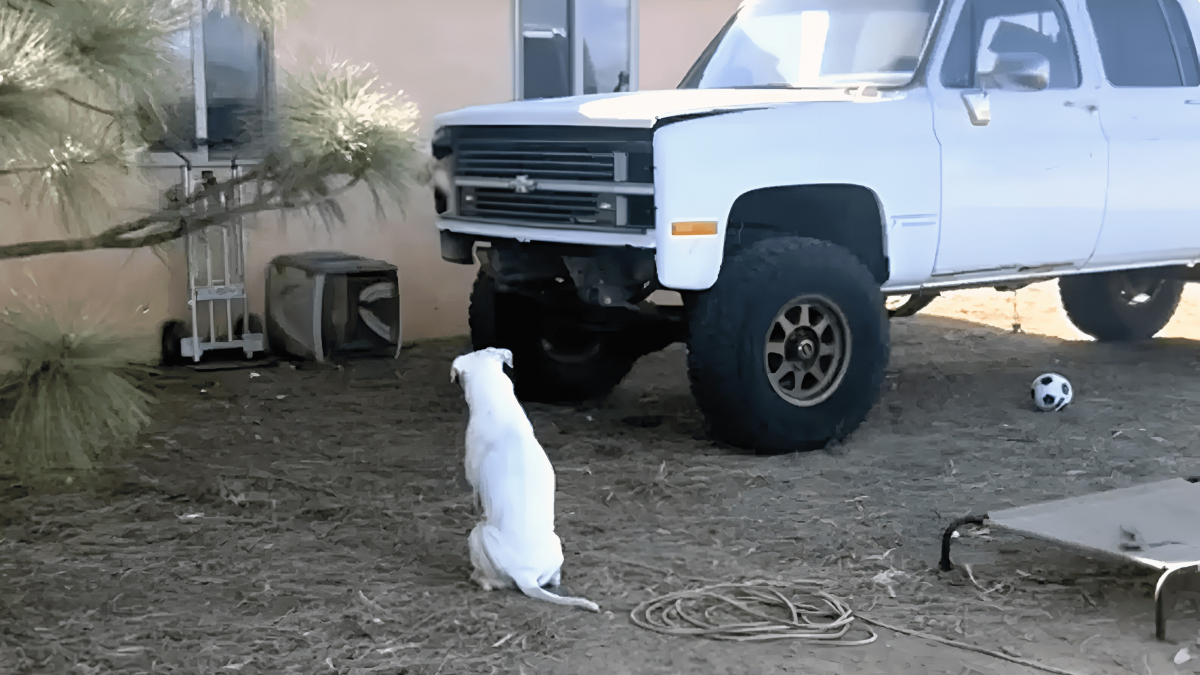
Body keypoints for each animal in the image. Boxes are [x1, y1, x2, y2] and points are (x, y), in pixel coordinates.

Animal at [451, 345, 600, 610]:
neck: (496, 402)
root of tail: (526, 577)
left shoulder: (474, 482)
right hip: (556, 543)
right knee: (553, 578)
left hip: (478, 535)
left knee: (490, 581)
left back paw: (478, 578)